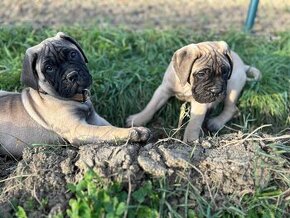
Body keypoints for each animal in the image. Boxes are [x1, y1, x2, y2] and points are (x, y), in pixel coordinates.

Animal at [0, 32, 150, 158]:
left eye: (73, 54)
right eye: (49, 68)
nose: (72, 75)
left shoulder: (95, 118)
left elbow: (108, 126)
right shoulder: (78, 129)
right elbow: (107, 130)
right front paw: (134, 132)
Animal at [126, 41, 260, 143]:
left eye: (225, 72)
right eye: (201, 74)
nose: (216, 91)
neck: (187, 85)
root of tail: (243, 65)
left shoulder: (200, 102)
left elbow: (194, 123)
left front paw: (190, 141)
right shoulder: (163, 89)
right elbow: (151, 106)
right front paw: (138, 119)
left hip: (233, 87)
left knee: (232, 108)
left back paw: (216, 122)